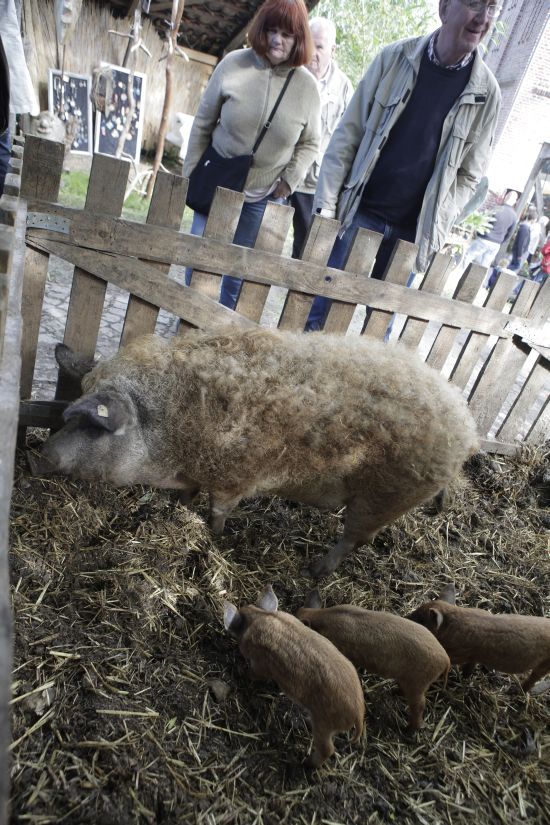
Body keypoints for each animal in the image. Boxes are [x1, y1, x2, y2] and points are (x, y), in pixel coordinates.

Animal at [30, 328, 479, 578]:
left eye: (95, 425)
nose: (41, 454)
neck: (171, 431)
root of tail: (464, 425)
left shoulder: (235, 476)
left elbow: (219, 512)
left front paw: (212, 539)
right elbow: (186, 497)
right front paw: (174, 511)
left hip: (384, 498)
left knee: (354, 539)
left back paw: (313, 572)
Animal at [223, 585, 364, 767]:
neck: (258, 618)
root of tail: (359, 713)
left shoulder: (260, 665)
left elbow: (254, 674)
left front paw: (241, 673)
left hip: (324, 723)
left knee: (328, 749)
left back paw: (305, 763)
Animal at [407, 584, 550, 691]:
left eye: (421, 619)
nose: (405, 617)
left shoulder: (459, 654)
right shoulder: (474, 656)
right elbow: (470, 667)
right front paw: (465, 676)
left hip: (544, 664)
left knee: (534, 678)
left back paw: (514, 691)